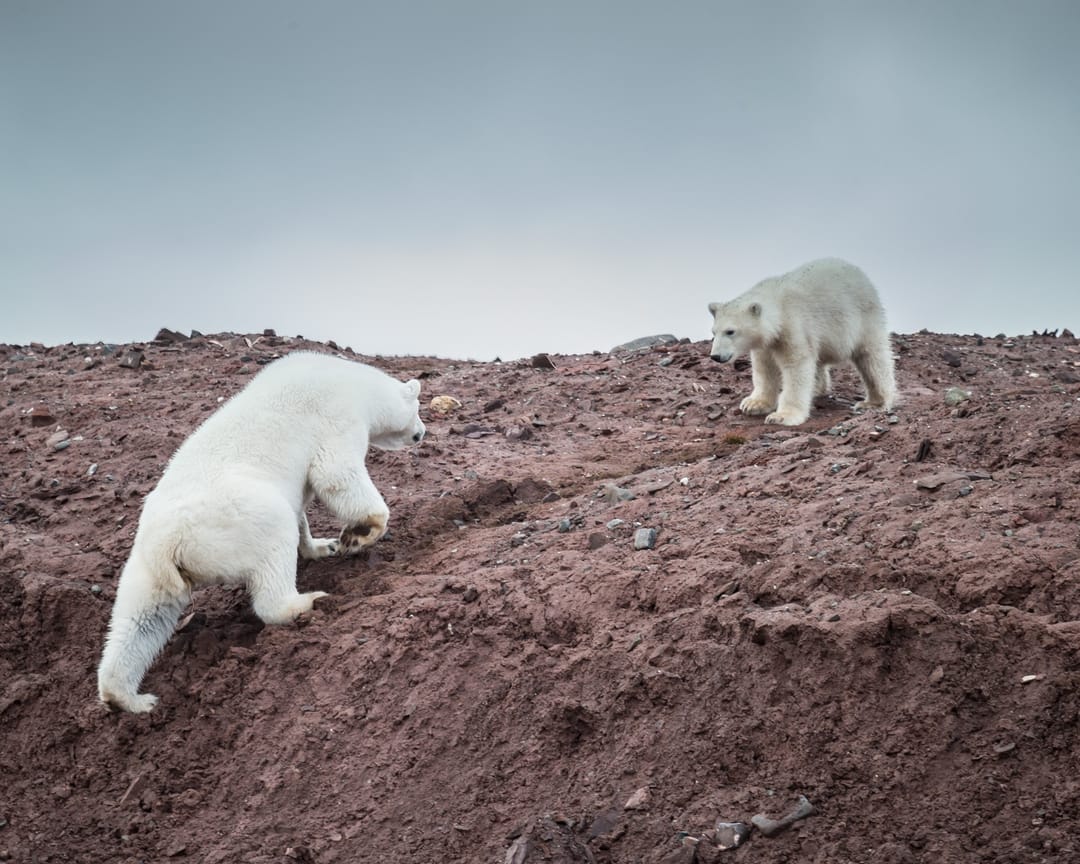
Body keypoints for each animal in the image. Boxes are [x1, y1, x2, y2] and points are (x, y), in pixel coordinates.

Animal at [96, 351, 426, 713]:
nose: (421, 433)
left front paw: (323, 546)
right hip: (242, 518)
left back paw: (130, 698)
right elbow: (336, 474)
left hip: (147, 566)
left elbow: (303, 505)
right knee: (274, 552)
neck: (355, 383)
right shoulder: (335, 416)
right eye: (418, 408)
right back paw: (306, 601)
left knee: (141, 618)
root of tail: (170, 544)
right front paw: (358, 534)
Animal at [708, 257, 896, 426]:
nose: (715, 356)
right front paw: (753, 404)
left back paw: (874, 402)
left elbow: (796, 367)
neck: (778, 306)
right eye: (713, 332)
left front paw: (782, 416)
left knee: (872, 358)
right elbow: (765, 368)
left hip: (863, 318)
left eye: (730, 331)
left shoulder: (794, 326)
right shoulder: (767, 343)